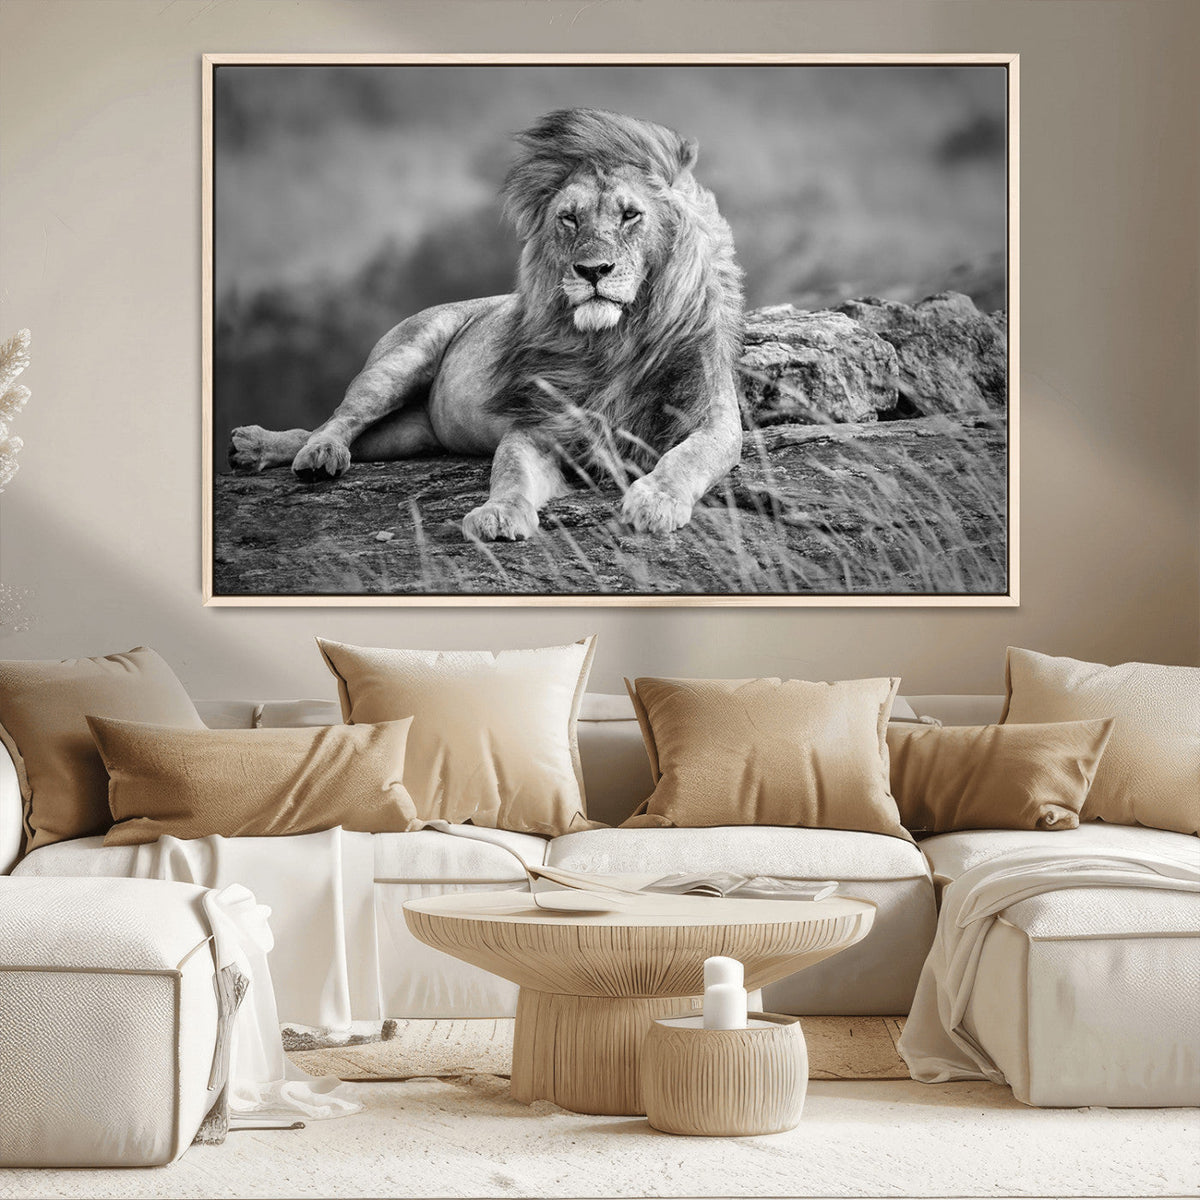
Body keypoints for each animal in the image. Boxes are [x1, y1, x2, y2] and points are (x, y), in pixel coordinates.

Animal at [229, 107, 744, 540]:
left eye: (630, 214)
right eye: (569, 219)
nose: (592, 270)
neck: (613, 341)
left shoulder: (713, 418)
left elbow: (686, 458)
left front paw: (656, 500)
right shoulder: (538, 425)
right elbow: (510, 470)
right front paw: (499, 514)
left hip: (408, 435)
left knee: (339, 433)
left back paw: (258, 448)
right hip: (399, 361)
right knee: (338, 419)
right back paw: (305, 453)